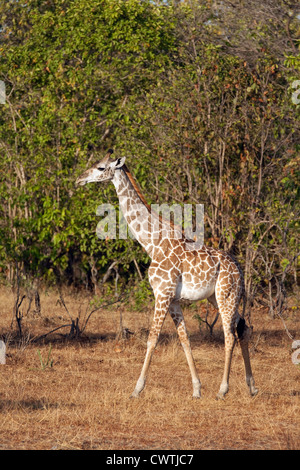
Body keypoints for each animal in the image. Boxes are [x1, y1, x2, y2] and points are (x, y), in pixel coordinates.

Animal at [75, 149, 258, 398]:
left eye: (101, 168)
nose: (79, 179)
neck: (152, 243)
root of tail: (239, 269)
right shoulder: (173, 299)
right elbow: (184, 339)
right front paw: (196, 389)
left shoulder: (162, 294)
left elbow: (152, 339)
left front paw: (137, 389)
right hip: (221, 297)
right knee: (244, 329)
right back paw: (252, 386)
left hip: (225, 295)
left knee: (230, 336)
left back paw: (223, 390)